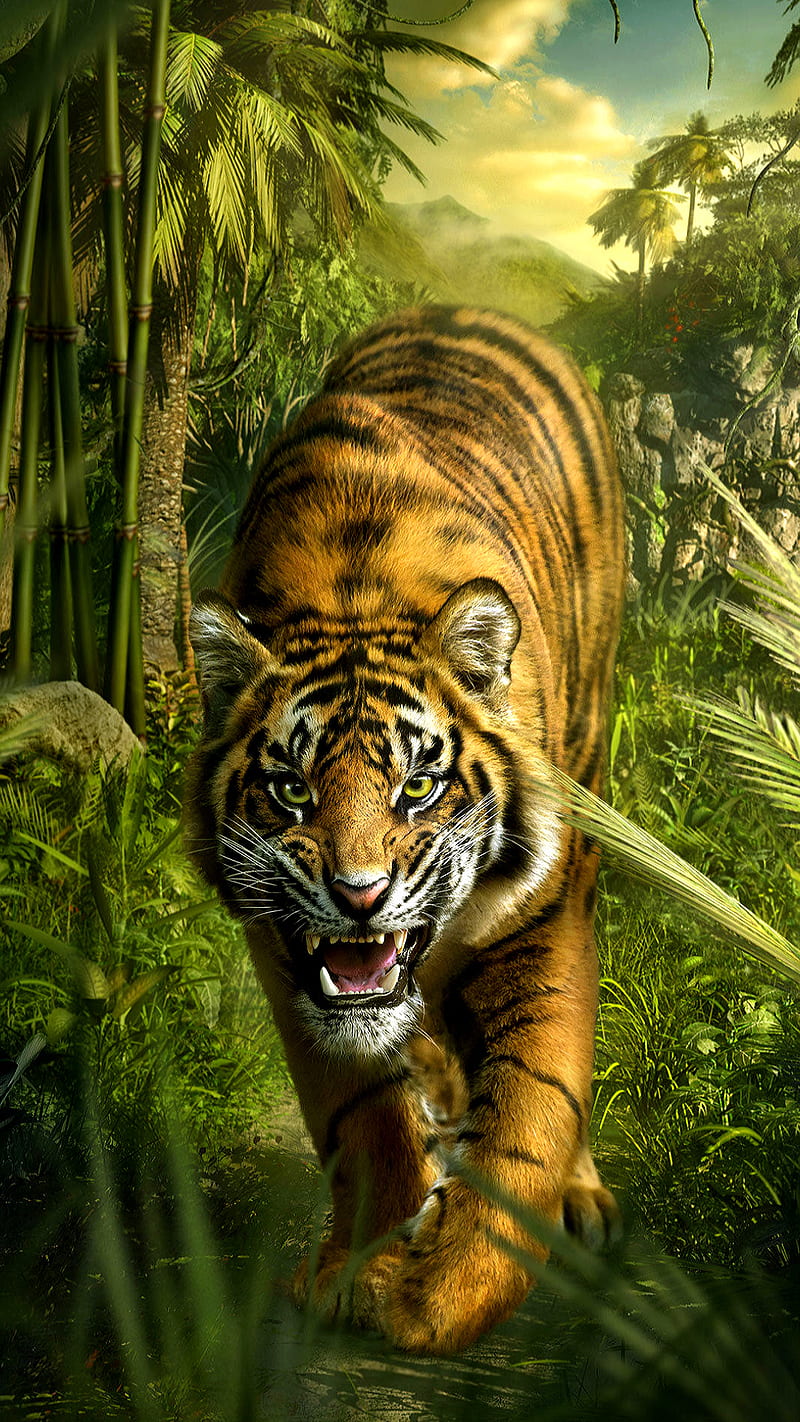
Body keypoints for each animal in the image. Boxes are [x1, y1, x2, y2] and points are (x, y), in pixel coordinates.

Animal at [185, 305, 625, 1355]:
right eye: (291, 791)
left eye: (418, 787)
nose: (359, 897)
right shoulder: (283, 951)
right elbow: (362, 1105)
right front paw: (366, 1263)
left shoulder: (542, 921)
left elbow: (533, 1112)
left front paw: (446, 1296)